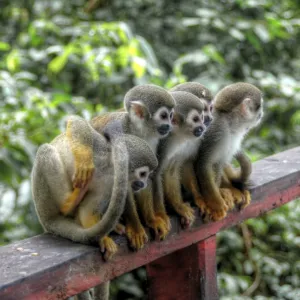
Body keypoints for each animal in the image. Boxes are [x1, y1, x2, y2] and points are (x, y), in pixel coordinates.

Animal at [31, 116, 157, 258]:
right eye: (143, 174)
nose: (144, 184)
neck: (109, 170)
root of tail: (46, 221)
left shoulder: (110, 185)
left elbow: (88, 210)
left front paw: (103, 239)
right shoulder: (100, 150)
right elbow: (76, 122)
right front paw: (85, 161)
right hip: (43, 200)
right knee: (45, 151)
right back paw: (68, 203)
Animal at [67, 85, 175, 246]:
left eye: (170, 115)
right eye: (163, 116)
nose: (169, 125)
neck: (137, 131)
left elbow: (147, 176)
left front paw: (152, 220)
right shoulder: (121, 132)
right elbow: (124, 185)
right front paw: (136, 228)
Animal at [154, 91, 207, 227]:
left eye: (202, 117)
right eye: (195, 119)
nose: (203, 127)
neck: (179, 136)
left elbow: (177, 168)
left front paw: (198, 198)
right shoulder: (164, 144)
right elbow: (157, 174)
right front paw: (178, 207)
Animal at [195, 82, 262, 220]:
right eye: (260, 107)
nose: (262, 114)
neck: (229, 122)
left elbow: (219, 163)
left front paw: (232, 189)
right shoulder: (217, 131)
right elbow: (205, 163)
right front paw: (216, 203)